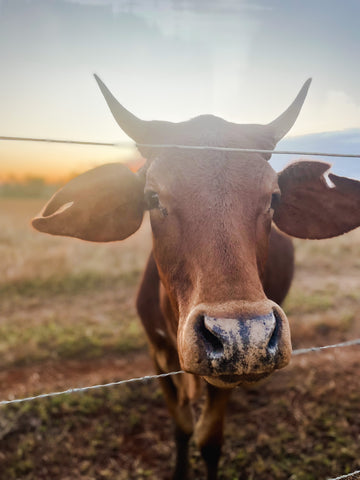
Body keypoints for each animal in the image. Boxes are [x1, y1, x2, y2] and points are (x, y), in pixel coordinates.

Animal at [32, 77, 360, 478]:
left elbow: (208, 438)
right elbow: (182, 427)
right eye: (152, 197)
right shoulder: (157, 356)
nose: (243, 337)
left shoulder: (226, 375)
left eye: (274, 197)